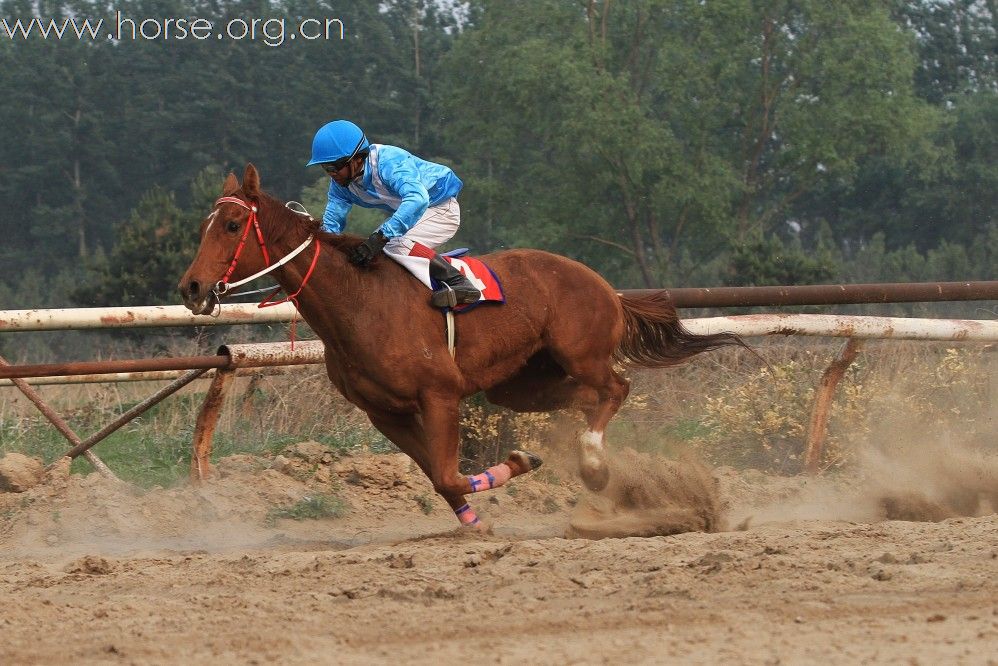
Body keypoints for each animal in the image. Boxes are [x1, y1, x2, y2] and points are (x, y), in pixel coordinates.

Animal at [180, 163, 744, 528]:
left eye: (232, 225)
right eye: (204, 224)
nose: (190, 288)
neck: (359, 303)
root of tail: (606, 285)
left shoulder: (440, 395)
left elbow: (450, 474)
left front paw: (501, 482)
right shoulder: (384, 412)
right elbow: (439, 477)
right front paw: (486, 505)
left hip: (580, 354)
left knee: (615, 389)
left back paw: (596, 466)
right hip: (518, 384)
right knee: (586, 398)